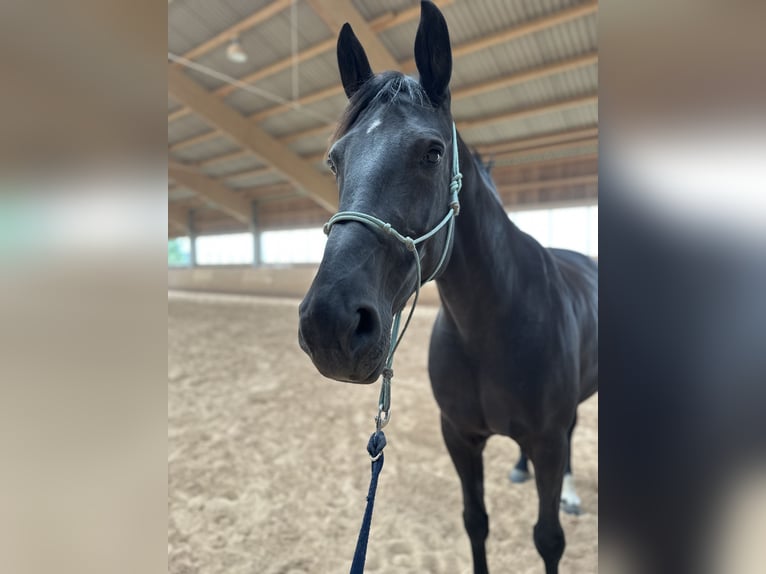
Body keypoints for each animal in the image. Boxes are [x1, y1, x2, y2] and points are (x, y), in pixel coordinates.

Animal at [297, 3, 598, 573]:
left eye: (433, 153)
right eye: (335, 160)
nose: (330, 325)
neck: (493, 328)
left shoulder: (549, 441)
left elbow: (548, 539)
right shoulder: (459, 438)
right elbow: (475, 522)